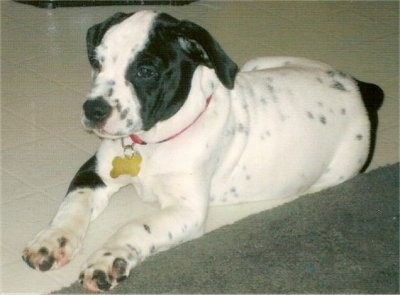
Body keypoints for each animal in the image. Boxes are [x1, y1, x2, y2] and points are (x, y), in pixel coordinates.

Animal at [22, 10, 384, 292]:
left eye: (146, 71)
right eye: (97, 63)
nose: (93, 109)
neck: (153, 143)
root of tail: (359, 87)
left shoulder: (187, 209)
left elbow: (135, 226)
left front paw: (108, 258)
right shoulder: (95, 171)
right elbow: (73, 204)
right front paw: (52, 241)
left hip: (337, 172)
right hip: (258, 64)